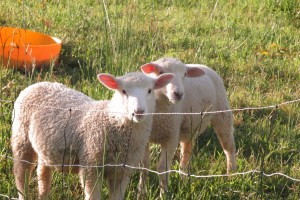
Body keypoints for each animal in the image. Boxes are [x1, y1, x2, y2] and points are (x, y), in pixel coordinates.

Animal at [11, 71, 173, 199]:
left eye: (150, 90)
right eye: (123, 91)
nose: (138, 112)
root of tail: (38, 84)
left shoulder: (121, 172)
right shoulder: (91, 166)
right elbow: (93, 196)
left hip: (45, 148)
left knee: (43, 175)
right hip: (21, 139)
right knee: (21, 177)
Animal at [139, 57, 236, 196]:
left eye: (184, 74)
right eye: (161, 72)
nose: (178, 94)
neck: (159, 114)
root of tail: (202, 65)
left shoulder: (171, 137)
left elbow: (163, 168)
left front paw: (163, 194)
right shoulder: (144, 138)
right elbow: (144, 166)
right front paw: (141, 192)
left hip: (222, 113)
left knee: (229, 147)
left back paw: (231, 174)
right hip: (189, 128)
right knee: (186, 152)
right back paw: (183, 178)